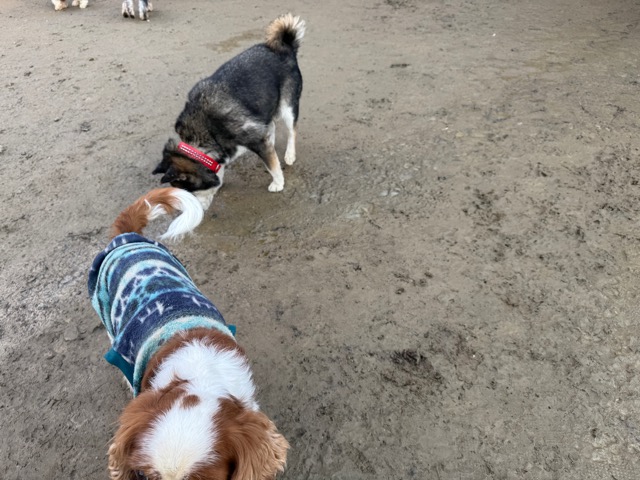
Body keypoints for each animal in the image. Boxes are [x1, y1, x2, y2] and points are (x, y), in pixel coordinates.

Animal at [152, 13, 305, 213]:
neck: (206, 130)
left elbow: (273, 166)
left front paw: (278, 182)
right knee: (270, 124)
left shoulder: (255, 138)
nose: (197, 213)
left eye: (191, 192)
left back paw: (289, 155)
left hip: (287, 106)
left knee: (292, 130)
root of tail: (283, 47)